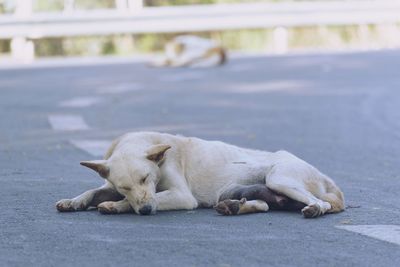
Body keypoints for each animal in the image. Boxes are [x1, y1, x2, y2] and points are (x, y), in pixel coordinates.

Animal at [56, 132, 344, 218]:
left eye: (145, 179)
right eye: (124, 186)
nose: (147, 211)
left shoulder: (182, 196)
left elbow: (144, 200)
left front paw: (116, 206)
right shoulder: (111, 185)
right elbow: (93, 191)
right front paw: (74, 201)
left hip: (280, 179)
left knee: (321, 203)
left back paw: (315, 209)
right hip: (252, 191)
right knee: (263, 204)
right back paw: (234, 207)